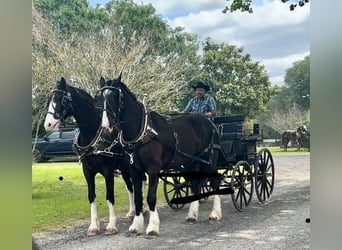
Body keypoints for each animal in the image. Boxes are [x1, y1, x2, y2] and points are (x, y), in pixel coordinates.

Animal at [44, 77, 136, 235]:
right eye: (51, 98)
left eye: (61, 98)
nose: (47, 124)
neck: (92, 133)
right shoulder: (87, 171)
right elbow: (91, 196)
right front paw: (94, 226)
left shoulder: (108, 171)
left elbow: (110, 196)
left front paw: (111, 225)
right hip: (124, 169)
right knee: (130, 187)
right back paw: (132, 212)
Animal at [98, 74, 222, 236]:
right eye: (101, 96)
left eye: (115, 96)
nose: (106, 126)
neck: (143, 131)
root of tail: (210, 123)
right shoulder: (134, 170)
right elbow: (138, 198)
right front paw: (136, 225)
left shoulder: (153, 169)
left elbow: (151, 197)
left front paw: (152, 227)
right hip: (192, 162)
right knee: (195, 184)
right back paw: (192, 215)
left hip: (209, 160)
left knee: (215, 181)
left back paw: (215, 214)